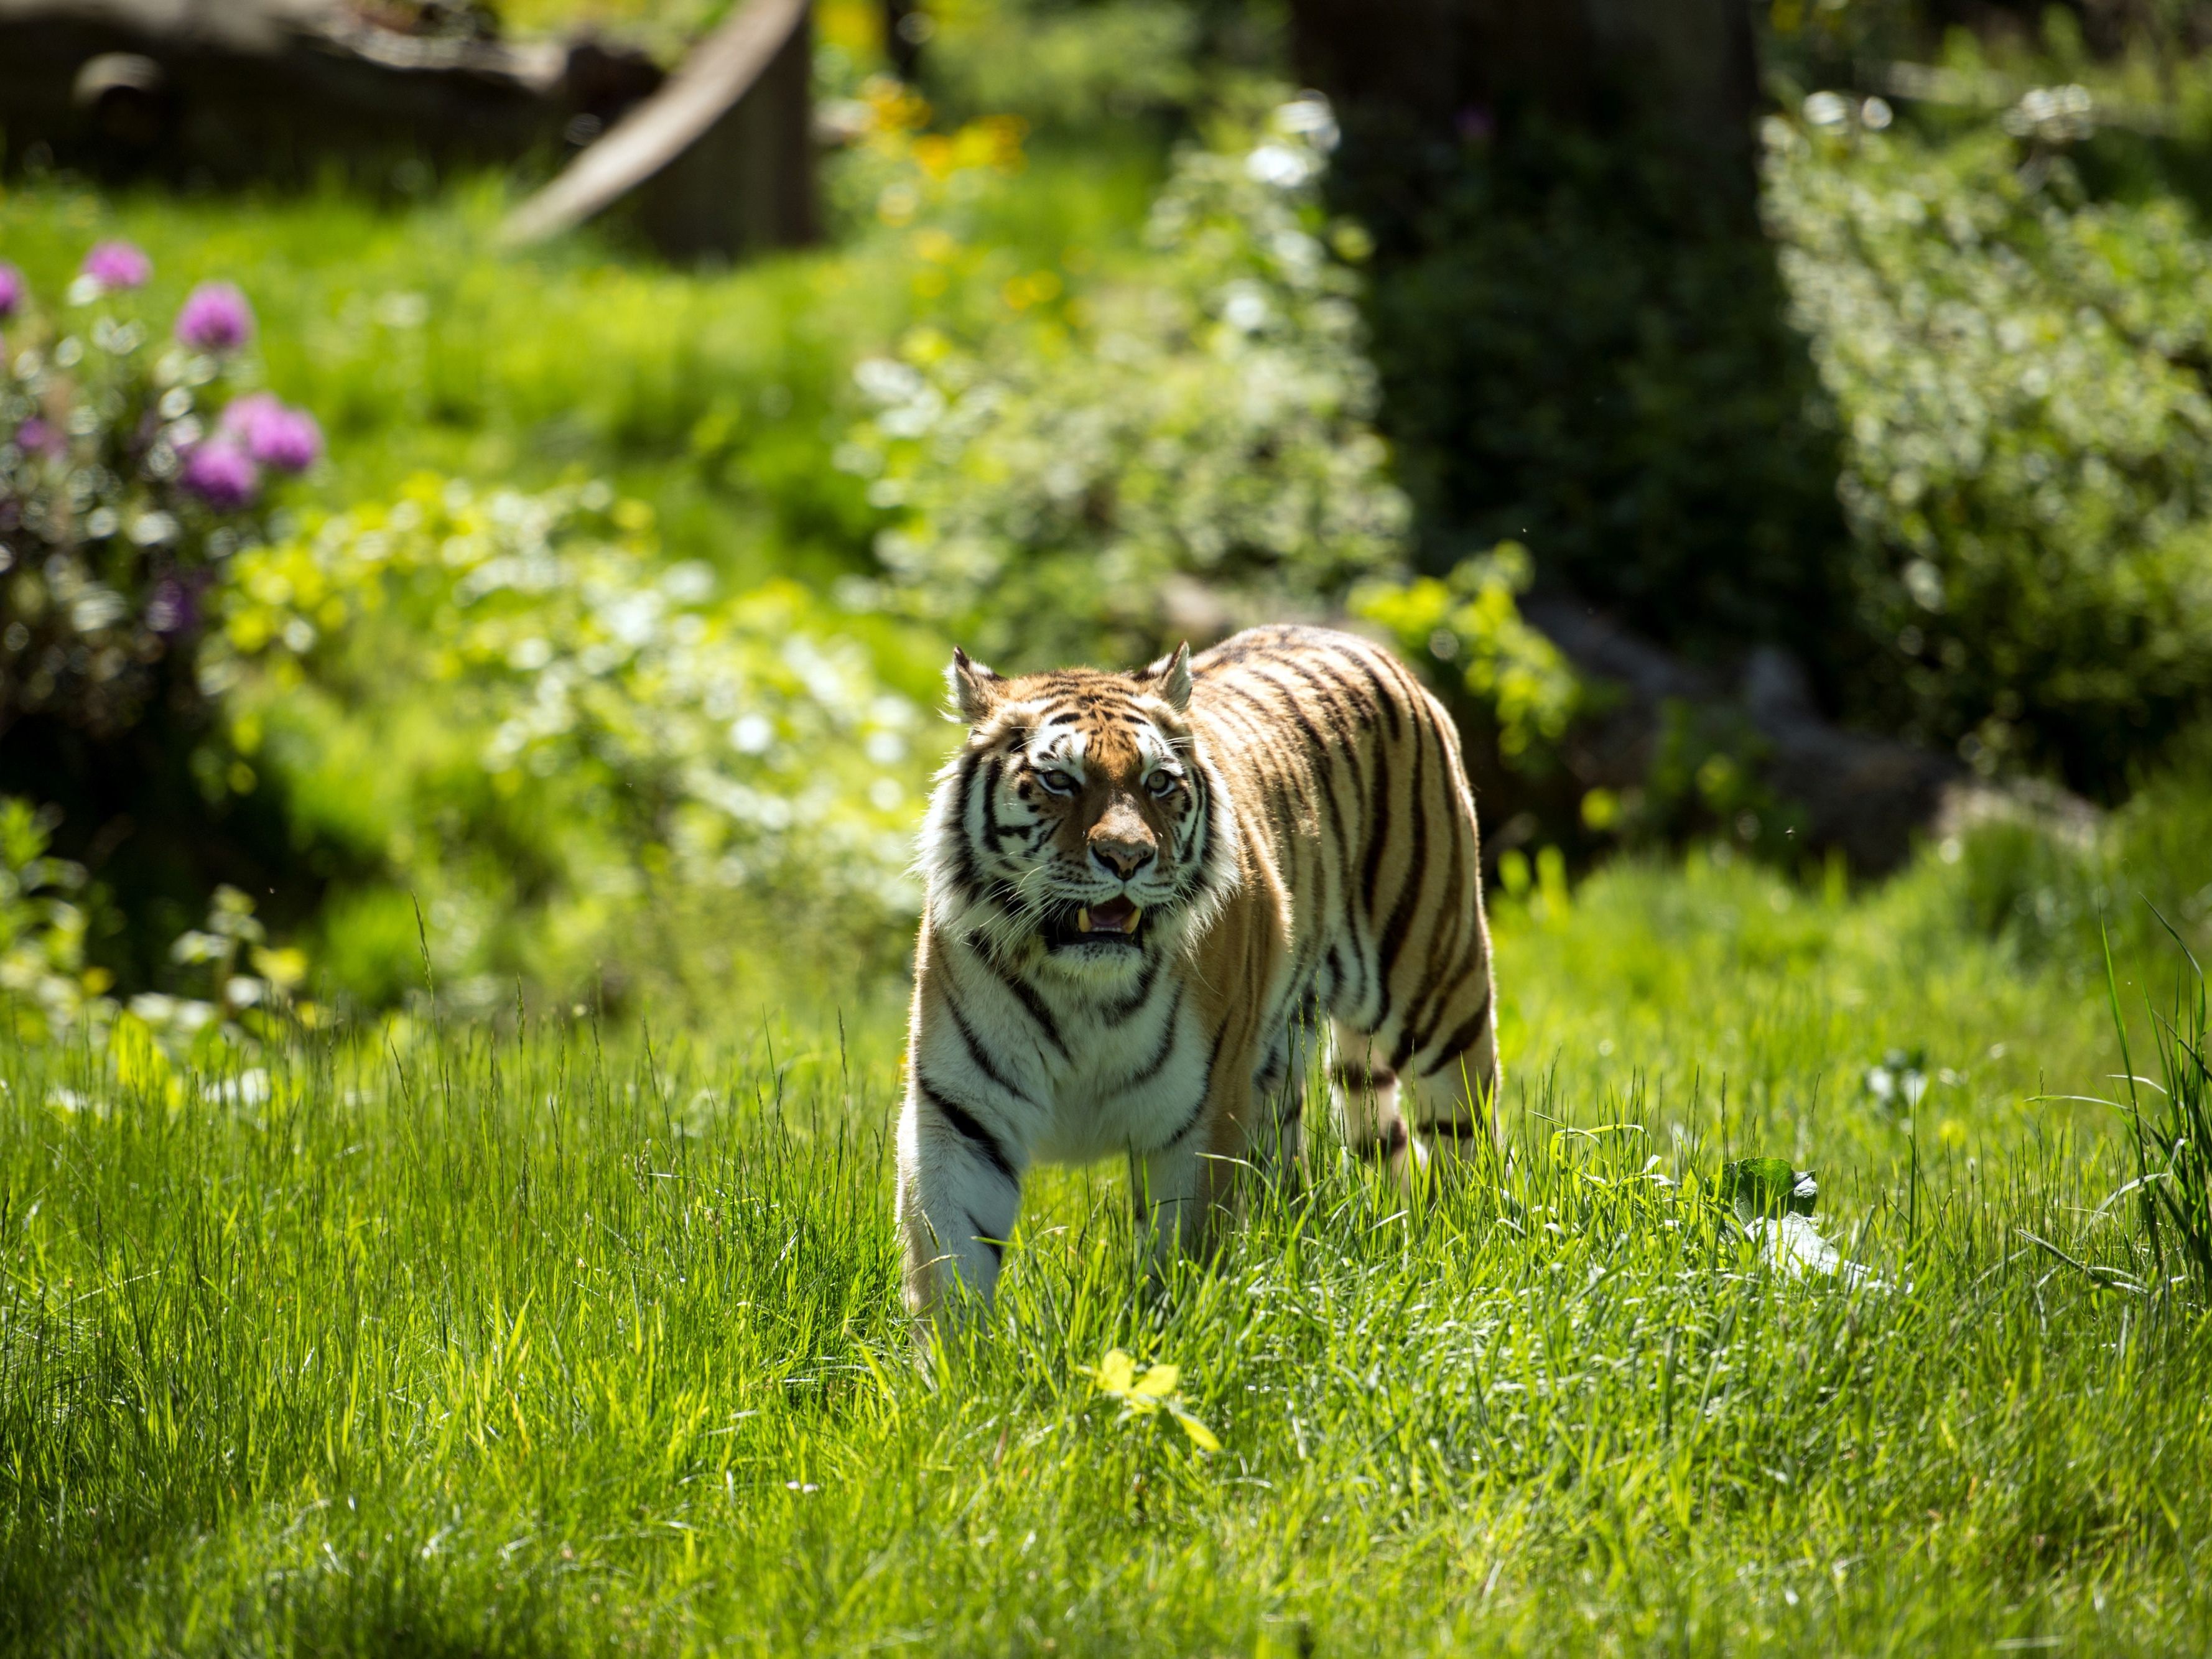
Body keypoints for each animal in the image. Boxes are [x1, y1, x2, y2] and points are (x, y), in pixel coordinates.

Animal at [896, 623, 1499, 1324]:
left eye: (1158, 782)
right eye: (1059, 780)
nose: (1127, 856)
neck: (1080, 989)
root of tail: (1348, 635)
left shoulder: (1200, 1113)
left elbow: (1178, 1259)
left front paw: (1161, 1336)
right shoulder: (963, 1114)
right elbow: (952, 1262)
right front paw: (961, 1354)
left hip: (1437, 988)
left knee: (1466, 1141)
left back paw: (1465, 1245)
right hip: (1279, 1071)